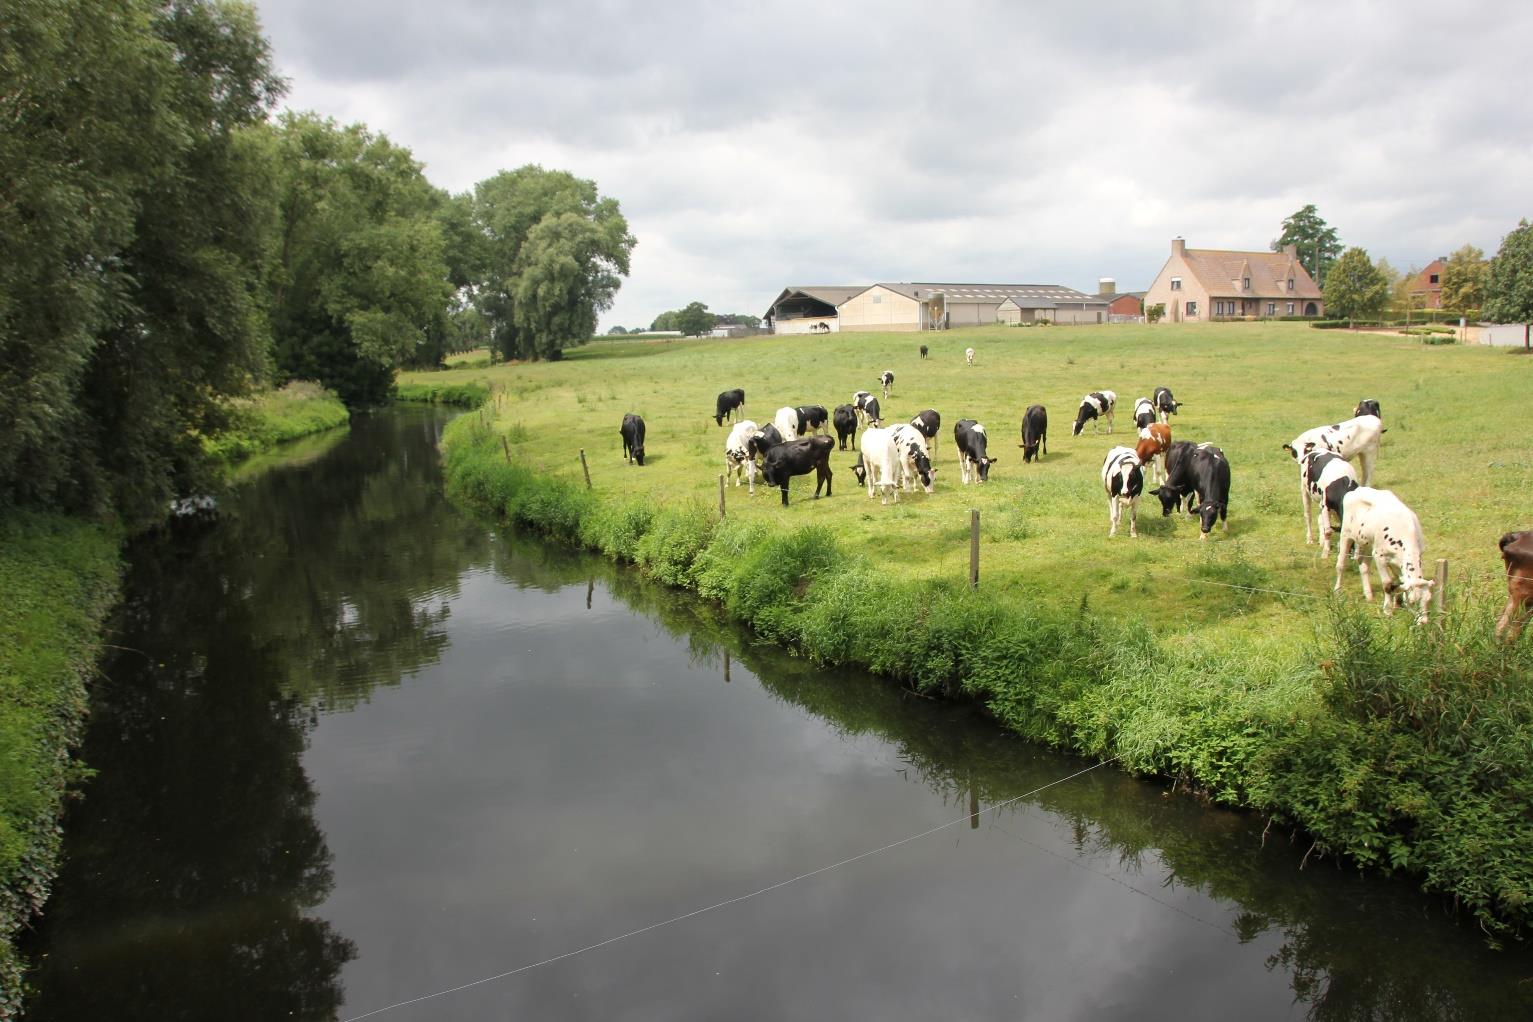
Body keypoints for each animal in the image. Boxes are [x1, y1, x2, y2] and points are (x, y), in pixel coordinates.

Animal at [1330, 487, 1434, 625]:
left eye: (1428, 600)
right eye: (1413, 602)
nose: (1424, 622)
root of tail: (1358, 489)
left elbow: (1398, 580)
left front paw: (1397, 603)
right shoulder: (1380, 556)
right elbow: (1387, 583)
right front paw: (1388, 610)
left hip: (1367, 543)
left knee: (1363, 566)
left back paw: (1368, 595)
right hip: (1346, 535)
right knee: (1341, 565)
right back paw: (1337, 591)